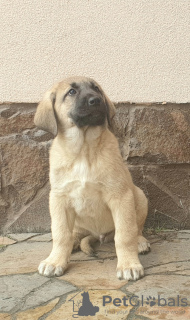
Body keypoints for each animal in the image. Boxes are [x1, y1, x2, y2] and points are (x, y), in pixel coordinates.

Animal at [34, 77, 150, 280]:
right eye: (71, 92)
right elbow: (61, 234)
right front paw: (55, 261)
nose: (96, 100)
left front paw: (129, 264)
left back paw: (140, 242)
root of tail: (98, 235)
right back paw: (73, 243)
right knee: (73, 234)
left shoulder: (120, 196)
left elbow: (125, 234)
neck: (83, 150)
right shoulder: (59, 199)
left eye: (96, 89)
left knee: (137, 228)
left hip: (140, 196)